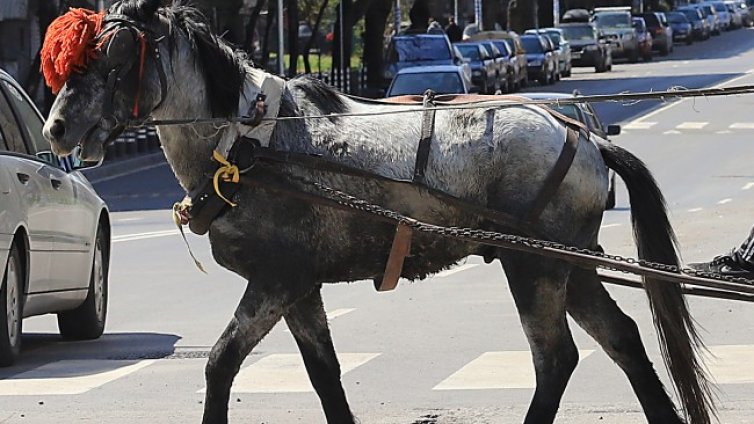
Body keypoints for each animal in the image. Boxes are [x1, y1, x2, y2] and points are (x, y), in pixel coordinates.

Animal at [41, 0, 712, 424]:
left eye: (115, 56)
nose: (56, 128)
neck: (244, 139)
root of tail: (585, 133)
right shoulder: (299, 287)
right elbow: (323, 373)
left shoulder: (275, 280)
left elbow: (220, 363)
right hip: (569, 264)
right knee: (622, 339)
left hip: (534, 266)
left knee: (555, 358)